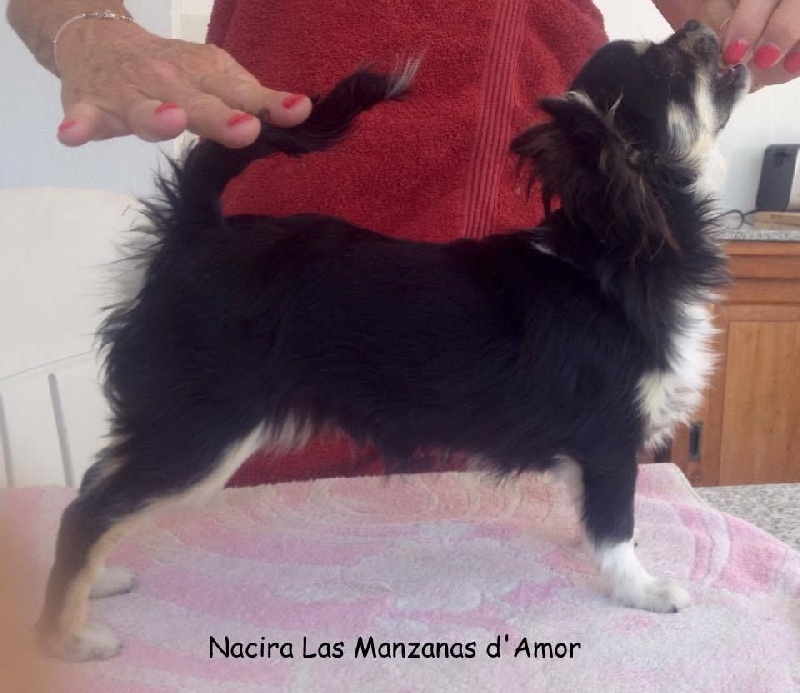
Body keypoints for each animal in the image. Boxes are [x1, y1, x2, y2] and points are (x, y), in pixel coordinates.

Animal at [38, 21, 749, 661]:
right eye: (667, 64)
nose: (701, 24)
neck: (612, 249)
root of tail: (198, 228)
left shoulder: (595, 452)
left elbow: (599, 518)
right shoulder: (609, 441)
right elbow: (617, 524)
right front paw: (643, 590)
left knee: (99, 487)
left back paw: (96, 583)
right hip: (204, 428)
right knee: (89, 512)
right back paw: (68, 637)